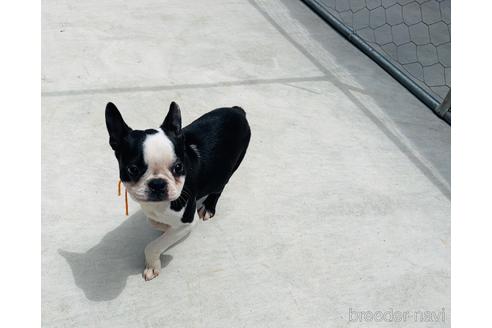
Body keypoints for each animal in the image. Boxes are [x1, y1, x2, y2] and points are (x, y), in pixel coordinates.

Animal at [104, 101, 250, 280]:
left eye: (179, 167)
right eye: (133, 169)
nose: (158, 183)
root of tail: (237, 110)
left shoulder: (187, 220)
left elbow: (153, 246)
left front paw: (152, 265)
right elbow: (154, 222)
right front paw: (163, 226)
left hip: (229, 168)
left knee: (219, 187)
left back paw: (208, 206)